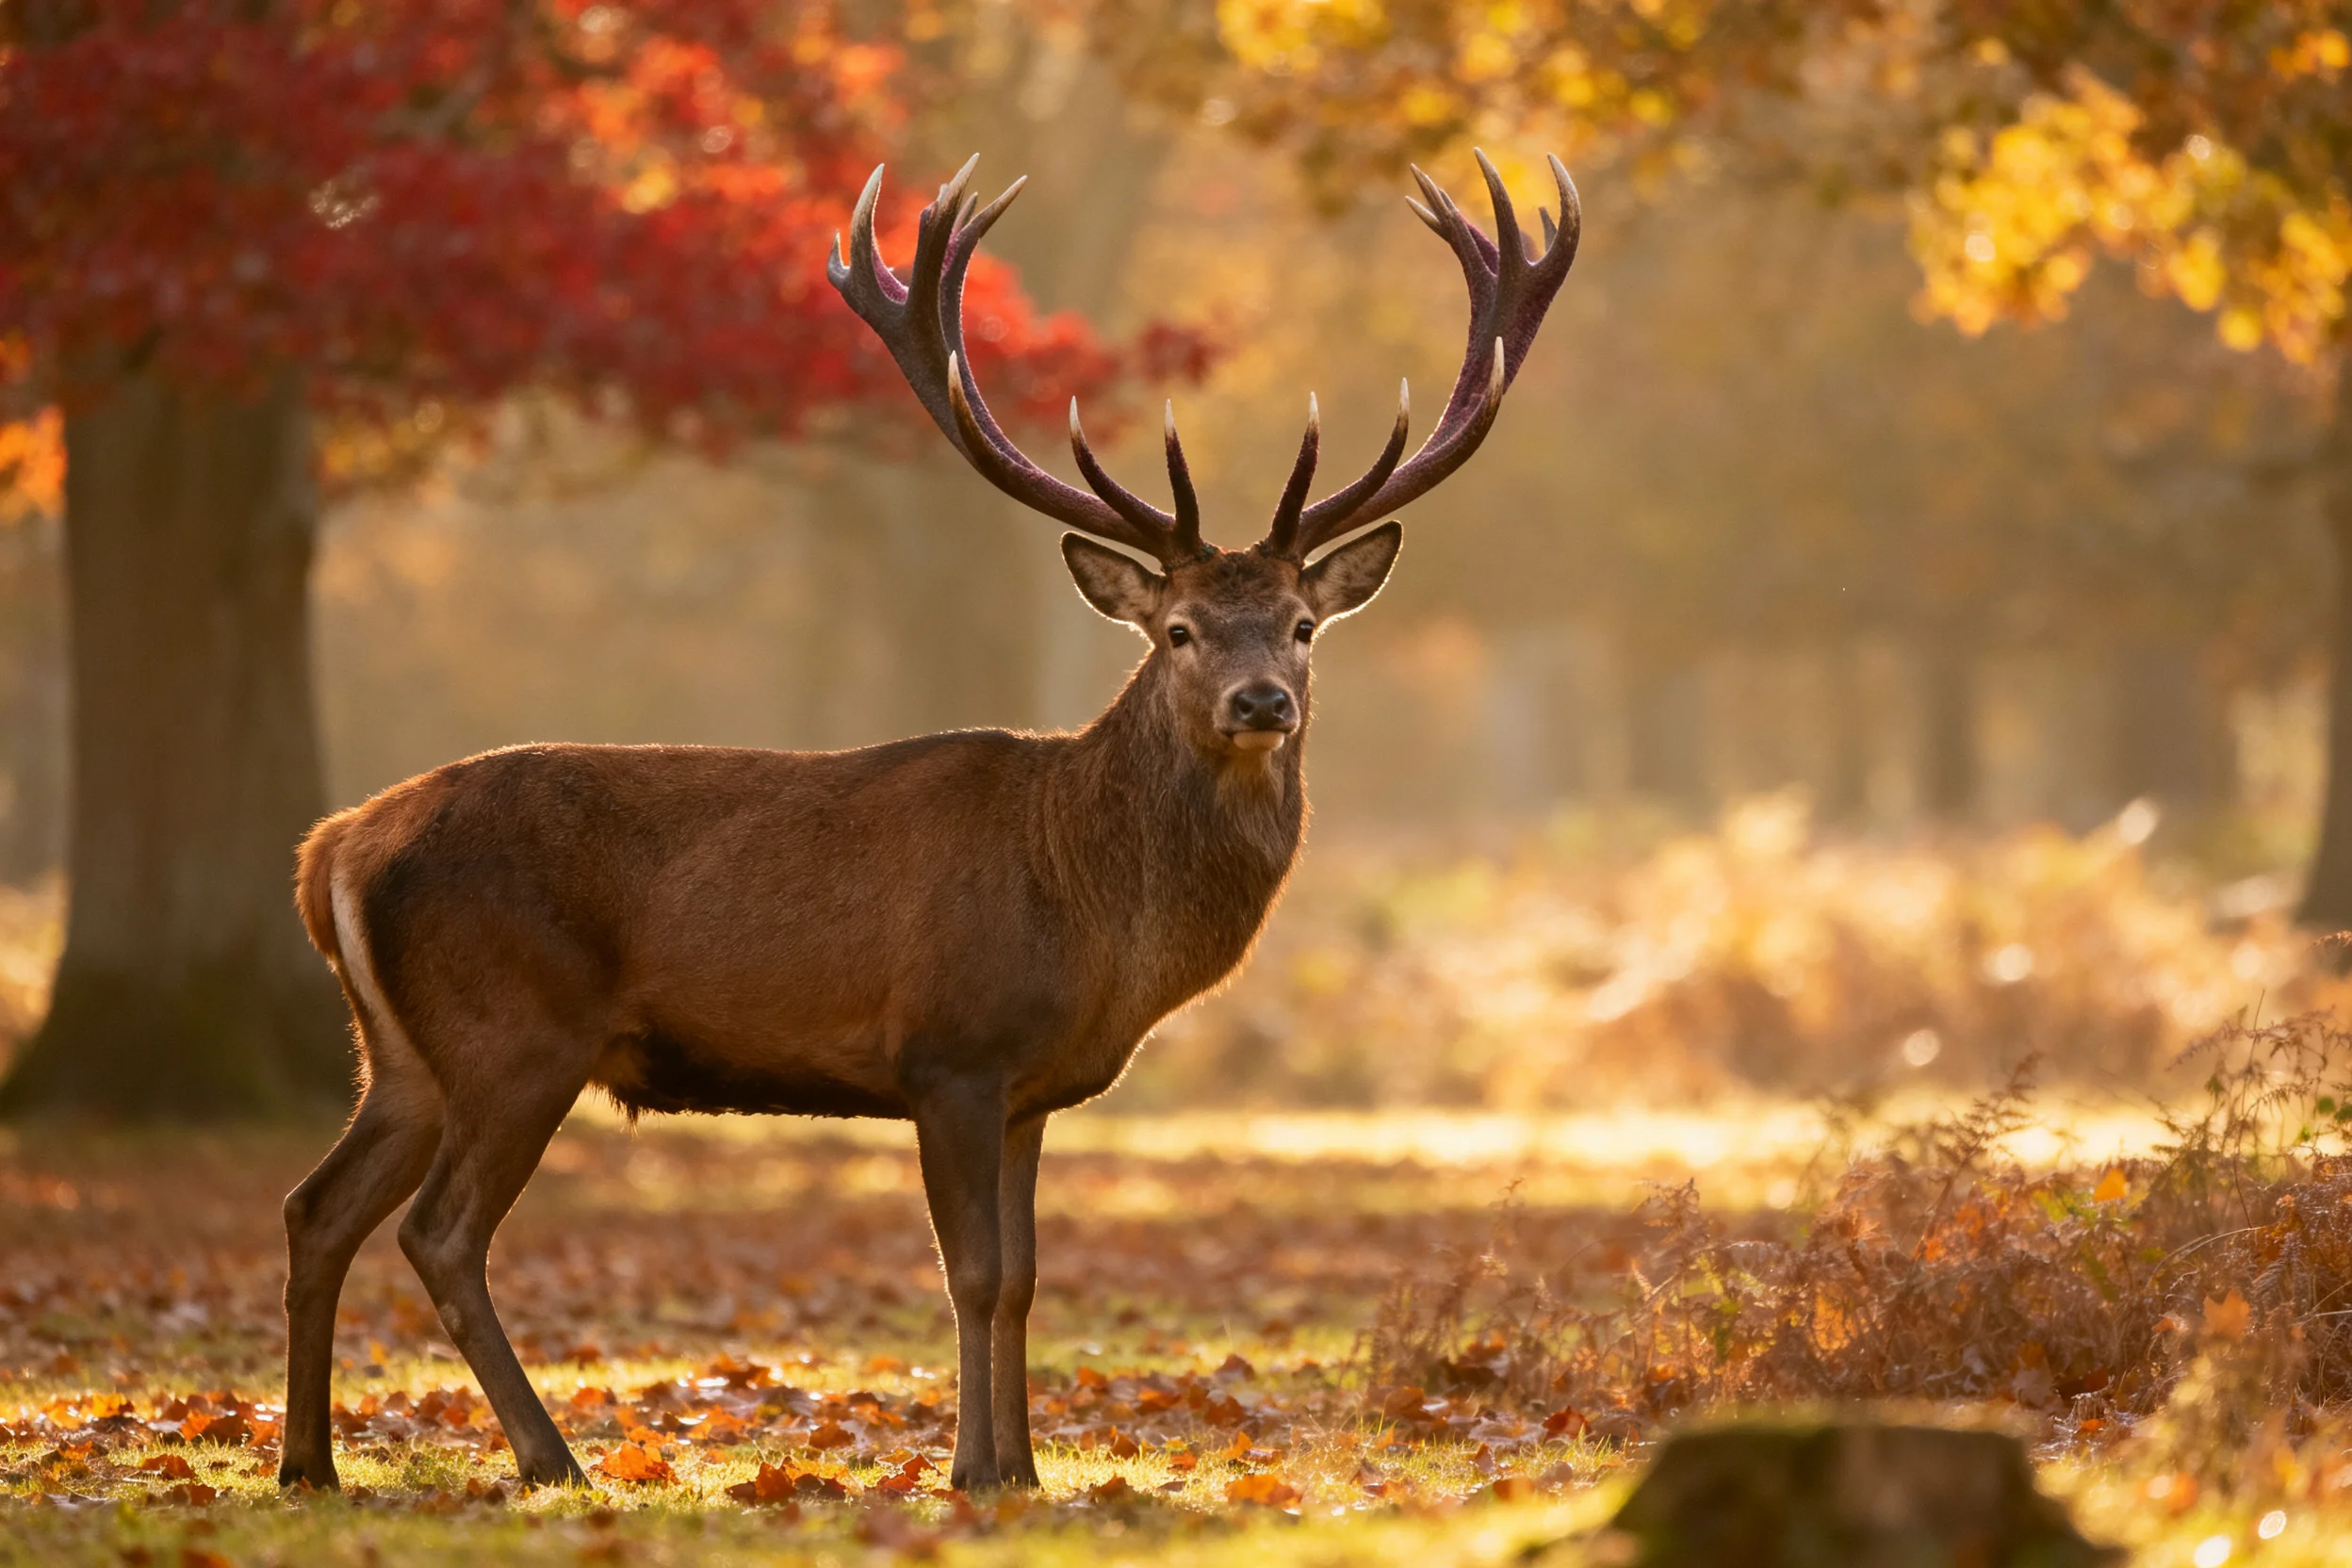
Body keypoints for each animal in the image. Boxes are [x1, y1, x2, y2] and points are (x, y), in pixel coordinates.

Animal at [275, 149, 1579, 1494]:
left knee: (316, 1206)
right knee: (438, 1231)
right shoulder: (947, 1047)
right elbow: (974, 1271)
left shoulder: (1031, 1086)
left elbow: (1028, 1275)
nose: (1260, 699)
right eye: (1178, 630)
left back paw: (309, 1463)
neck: (1094, 914)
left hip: (405, 1053)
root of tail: (332, 848)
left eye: (1304, 625)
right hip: (513, 1031)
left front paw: (1026, 1466)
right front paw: (971, 1469)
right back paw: (551, 1459)